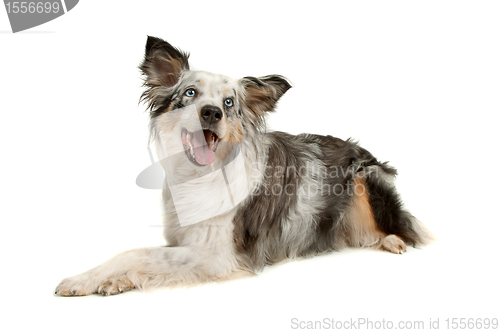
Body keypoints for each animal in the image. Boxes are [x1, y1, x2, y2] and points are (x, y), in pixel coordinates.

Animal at [53, 36, 430, 296]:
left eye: (229, 102)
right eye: (190, 93)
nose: (211, 113)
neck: (201, 175)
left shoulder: (216, 256)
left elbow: (135, 253)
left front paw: (88, 279)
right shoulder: (183, 240)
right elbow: (139, 255)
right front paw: (106, 280)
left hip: (368, 179)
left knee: (404, 228)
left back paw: (392, 240)